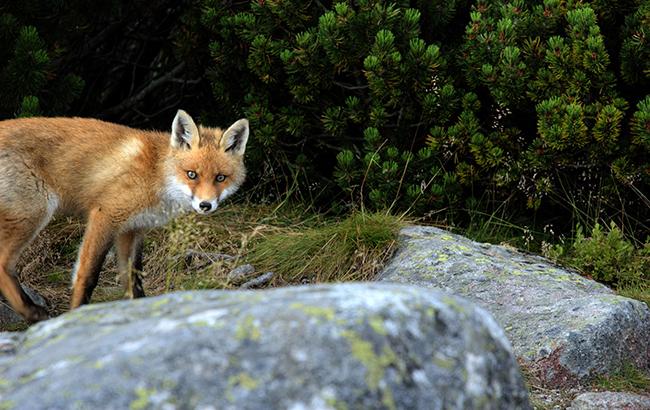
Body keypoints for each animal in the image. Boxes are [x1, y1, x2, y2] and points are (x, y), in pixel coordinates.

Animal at [0, 110, 248, 322]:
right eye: (192, 174)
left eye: (220, 177)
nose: (206, 205)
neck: (156, 174)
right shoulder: (105, 215)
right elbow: (87, 276)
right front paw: (77, 314)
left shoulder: (132, 230)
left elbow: (134, 281)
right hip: (33, 213)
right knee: (3, 264)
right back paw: (32, 312)